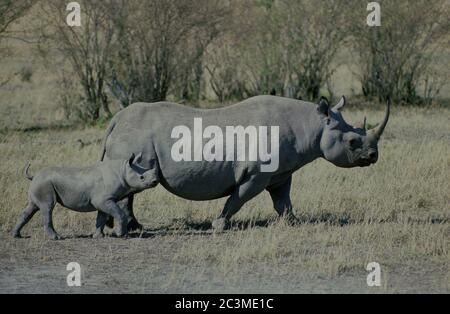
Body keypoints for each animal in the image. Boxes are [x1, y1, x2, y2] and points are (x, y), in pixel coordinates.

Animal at [12, 153, 158, 239]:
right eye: (141, 177)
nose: (155, 181)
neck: (123, 170)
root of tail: (34, 176)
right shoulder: (104, 199)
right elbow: (119, 213)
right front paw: (121, 234)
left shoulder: (104, 200)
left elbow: (101, 217)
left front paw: (98, 236)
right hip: (44, 184)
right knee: (47, 208)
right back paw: (56, 238)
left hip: (40, 183)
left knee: (32, 207)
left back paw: (16, 235)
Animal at [97, 95, 386, 233]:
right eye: (352, 142)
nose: (373, 156)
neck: (312, 125)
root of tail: (116, 119)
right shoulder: (256, 173)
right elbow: (237, 199)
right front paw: (219, 225)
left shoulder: (280, 173)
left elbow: (283, 201)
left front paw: (293, 223)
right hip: (136, 139)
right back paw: (131, 227)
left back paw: (132, 226)